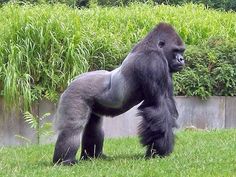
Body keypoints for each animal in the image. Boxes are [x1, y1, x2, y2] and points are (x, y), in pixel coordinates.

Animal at [52, 21, 185, 165]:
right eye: (176, 50)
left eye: (182, 51)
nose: (181, 59)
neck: (152, 46)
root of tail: (72, 81)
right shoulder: (153, 62)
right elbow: (158, 108)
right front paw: (159, 151)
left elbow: (167, 105)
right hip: (75, 93)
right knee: (72, 128)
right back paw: (65, 161)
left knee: (93, 126)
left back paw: (92, 156)